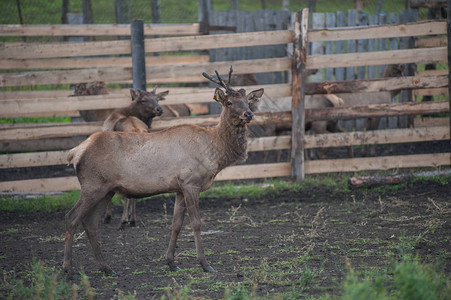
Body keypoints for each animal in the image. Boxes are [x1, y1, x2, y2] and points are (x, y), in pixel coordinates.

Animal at [102, 86, 170, 230]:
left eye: (157, 99)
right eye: (143, 100)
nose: (159, 109)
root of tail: (138, 130)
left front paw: (108, 217)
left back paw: (123, 220)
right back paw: (132, 219)